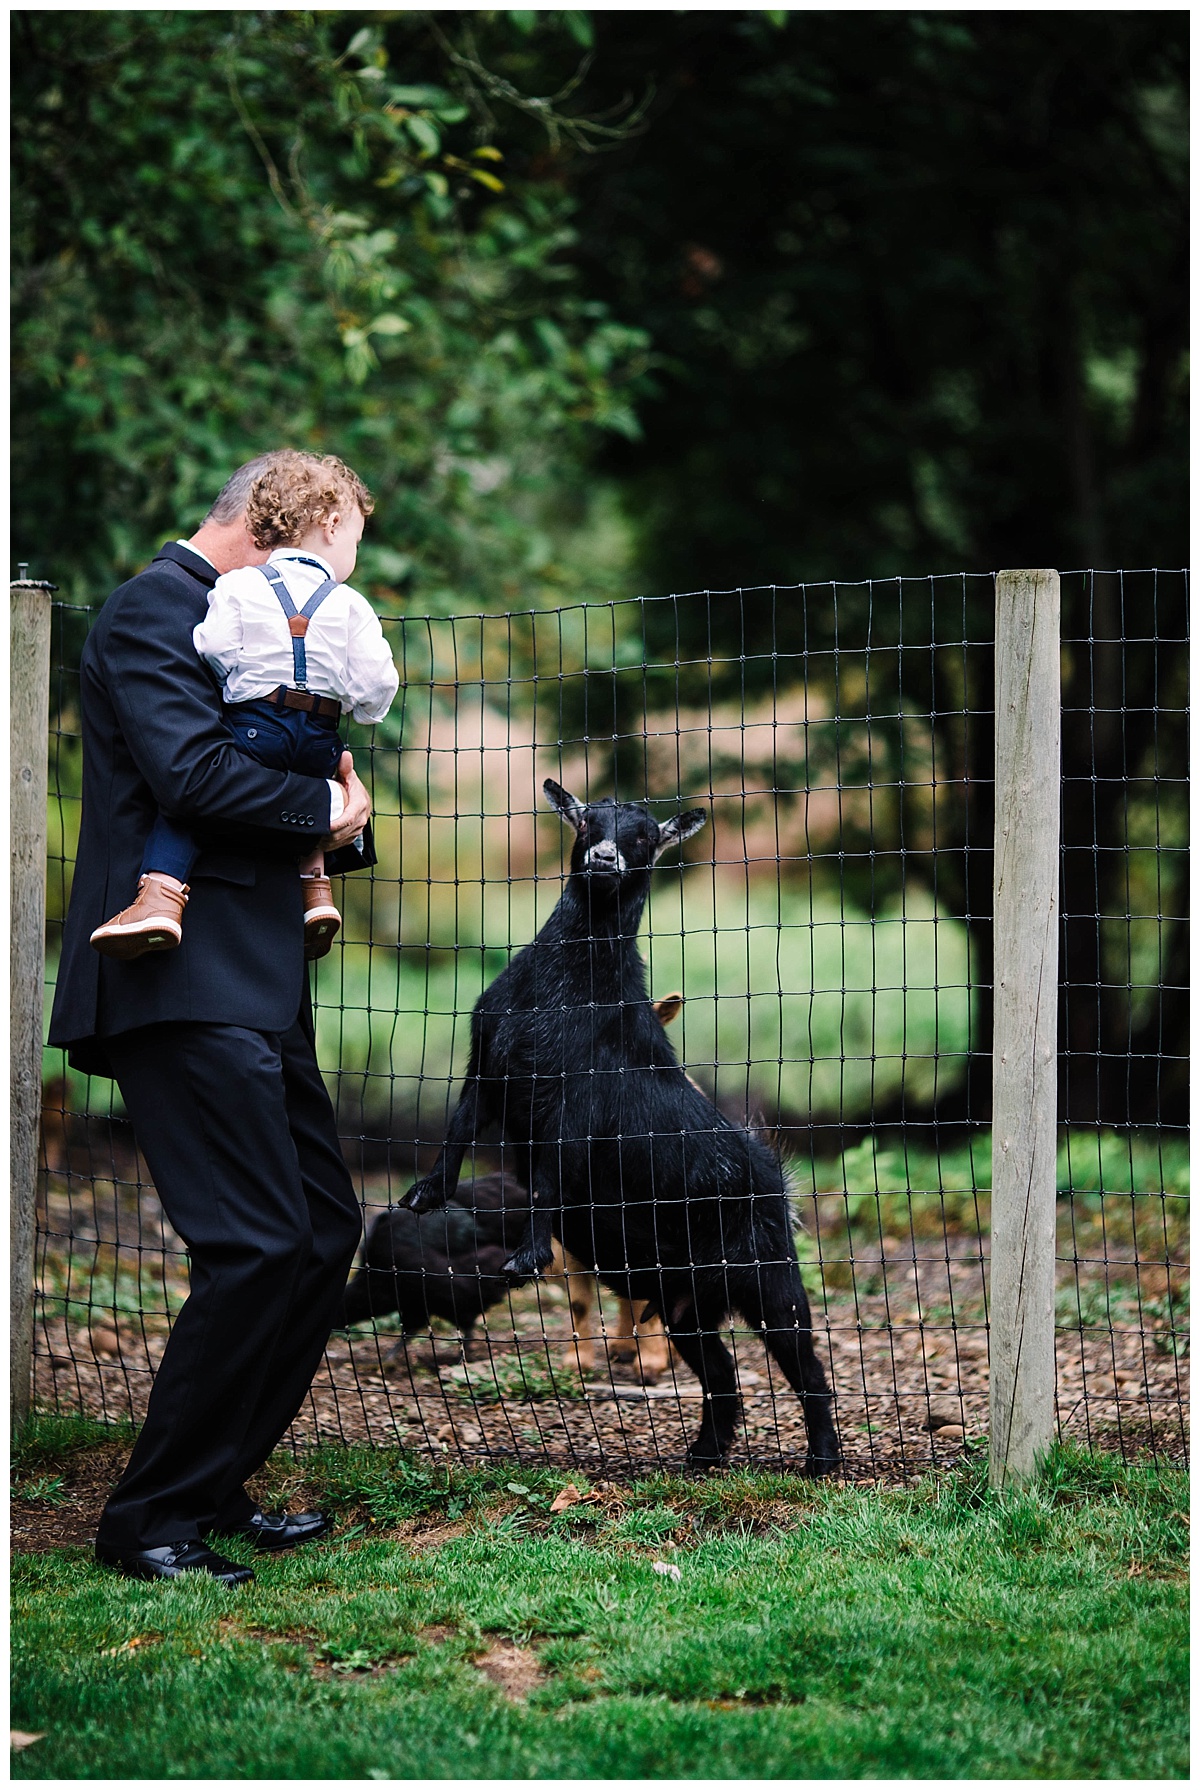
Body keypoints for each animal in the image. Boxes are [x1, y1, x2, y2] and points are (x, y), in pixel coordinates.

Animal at [399, 776, 841, 1474]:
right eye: (586, 823)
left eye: (643, 837)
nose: (604, 859)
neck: (568, 989)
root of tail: (776, 1179)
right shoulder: (489, 1060)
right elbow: (461, 1125)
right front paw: (425, 1193)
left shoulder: (573, 1100)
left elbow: (549, 1174)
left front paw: (526, 1256)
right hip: (685, 1301)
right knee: (721, 1372)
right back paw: (704, 1454)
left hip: (765, 1265)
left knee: (803, 1359)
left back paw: (822, 1459)